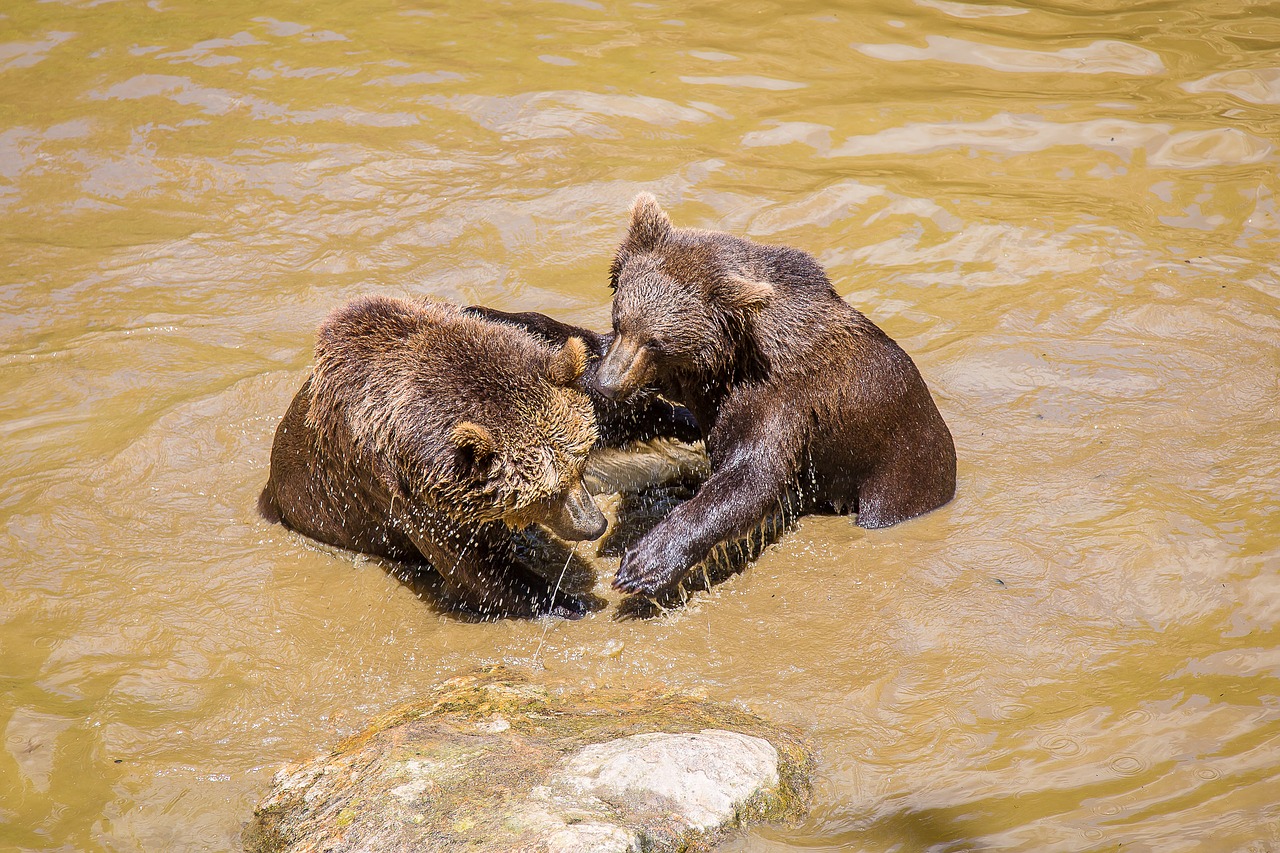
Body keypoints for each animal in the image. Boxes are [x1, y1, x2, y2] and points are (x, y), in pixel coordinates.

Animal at [259, 294, 696, 617]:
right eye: (544, 494)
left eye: (580, 463)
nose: (594, 525)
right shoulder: (404, 489)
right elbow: (475, 570)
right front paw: (566, 600)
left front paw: (680, 417)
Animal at [593, 192, 957, 594]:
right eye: (620, 322)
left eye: (656, 341)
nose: (607, 383)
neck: (731, 357)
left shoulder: (782, 397)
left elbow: (751, 476)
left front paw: (643, 564)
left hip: (901, 466)